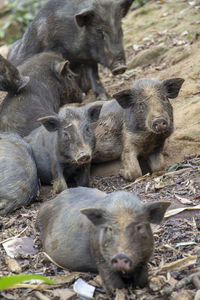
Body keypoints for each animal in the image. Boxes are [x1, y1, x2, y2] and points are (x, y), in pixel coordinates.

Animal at [36, 186, 170, 294]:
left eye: (139, 227)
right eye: (109, 229)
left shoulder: (145, 258)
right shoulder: (99, 255)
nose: (121, 256)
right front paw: (117, 292)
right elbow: (113, 282)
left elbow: (142, 279)